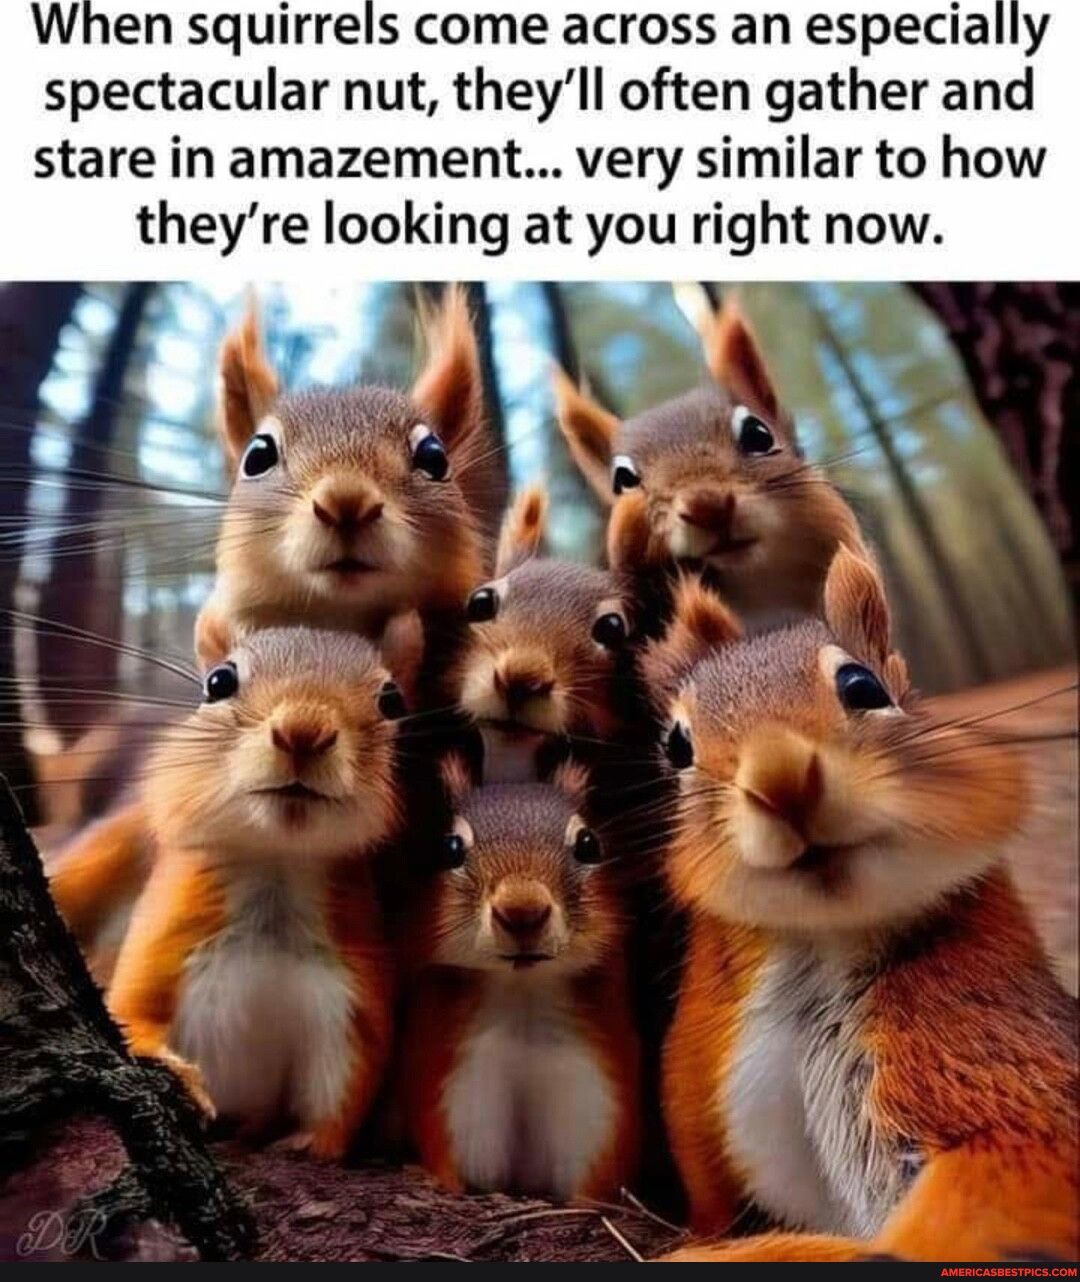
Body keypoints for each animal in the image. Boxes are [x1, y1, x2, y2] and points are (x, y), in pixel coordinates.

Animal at [105, 625, 407, 1157]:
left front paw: (310, 1143)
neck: (275, 865)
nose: (303, 730)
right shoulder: (162, 948)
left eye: (392, 700)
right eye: (218, 681)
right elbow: (132, 1017)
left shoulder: (350, 1001)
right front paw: (182, 1077)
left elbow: (345, 1093)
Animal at [397, 756, 640, 1201]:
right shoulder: (451, 1097)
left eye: (589, 844)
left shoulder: (599, 1114)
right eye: (448, 847)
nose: (522, 910)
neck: (522, 991)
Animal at [641, 555, 1077, 1261]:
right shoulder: (697, 1093)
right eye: (676, 747)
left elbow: (1008, 1172)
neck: (824, 939)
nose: (781, 779)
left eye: (862, 686)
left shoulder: (1005, 1062)